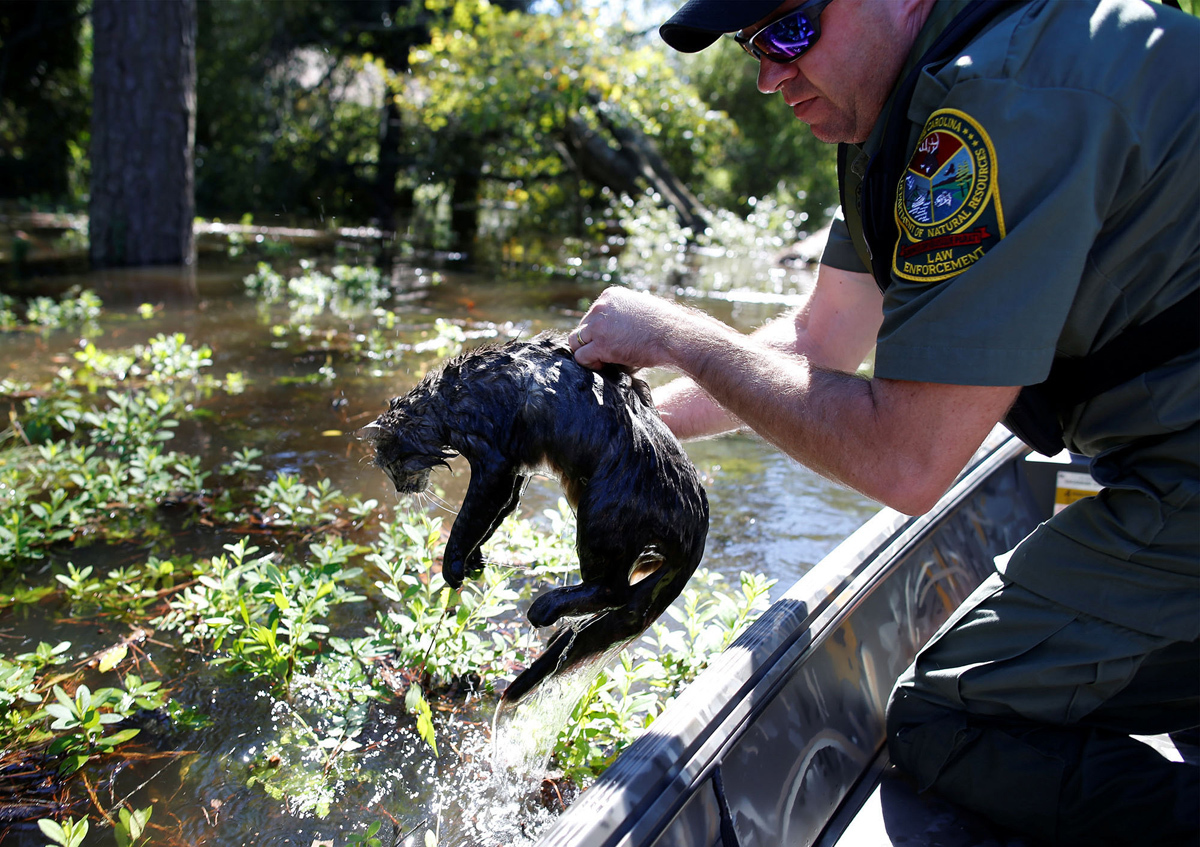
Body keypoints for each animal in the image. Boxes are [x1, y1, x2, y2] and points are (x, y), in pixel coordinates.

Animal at [360, 333, 705, 700]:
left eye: (389, 465)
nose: (399, 488)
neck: (446, 400)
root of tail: (698, 517)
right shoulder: (514, 471)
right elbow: (490, 519)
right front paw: (474, 560)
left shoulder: (493, 460)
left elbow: (467, 520)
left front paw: (452, 564)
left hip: (600, 511)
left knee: (613, 590)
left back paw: (547, 607)